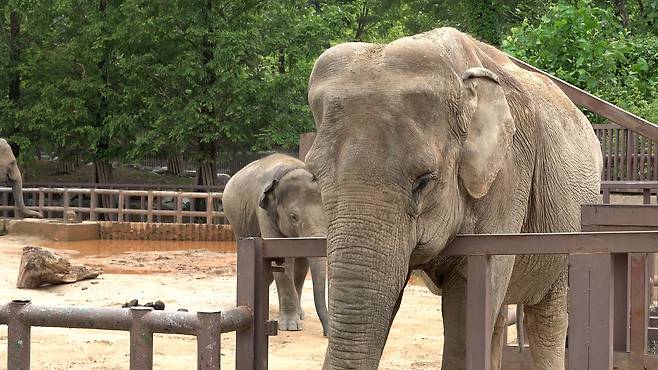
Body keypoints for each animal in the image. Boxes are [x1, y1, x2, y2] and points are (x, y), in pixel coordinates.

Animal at [223, 152, 328, 336]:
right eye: (294, 216)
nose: (325, 333)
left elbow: (301, 265)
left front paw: (298, 317)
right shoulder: (264, 213)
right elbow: (281, 260)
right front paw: (290, 327)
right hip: (236, 221)